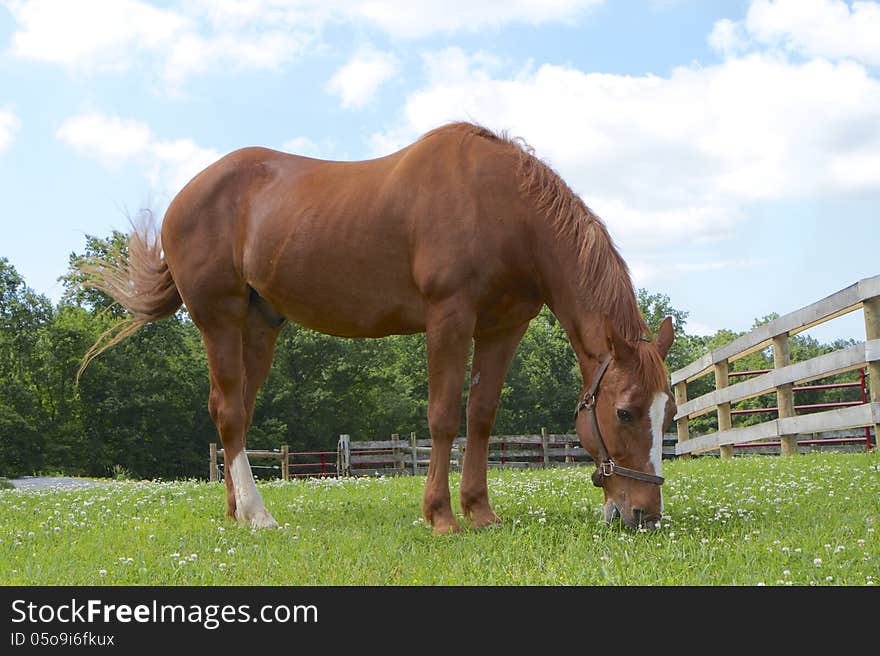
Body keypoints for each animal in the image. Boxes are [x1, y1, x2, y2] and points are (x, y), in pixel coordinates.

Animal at [79, 121, 676, 532]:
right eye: (624, 412)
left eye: (667, 413)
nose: (645, 516)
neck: (502, 207)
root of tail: (185, 197)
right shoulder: (449, 316)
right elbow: (442, 417)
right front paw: (441, 517)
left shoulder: (503, 329)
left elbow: (480, 418)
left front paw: (481, 513)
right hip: (218, 317)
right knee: (228, 414)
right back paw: (260, 515)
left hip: (258, 327)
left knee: (236, 414)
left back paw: (235, 512)